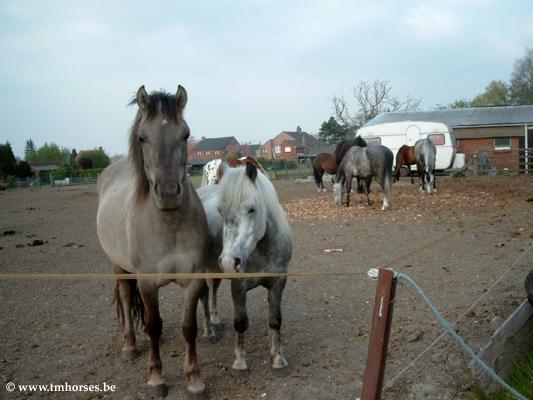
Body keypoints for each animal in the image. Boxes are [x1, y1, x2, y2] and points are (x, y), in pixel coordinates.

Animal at [96, 86, 209, 398]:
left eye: (185, 134)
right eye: (142, 137)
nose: (168, 193)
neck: (168, 226)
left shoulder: (193, 280)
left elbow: (188, 327)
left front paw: (194, 380)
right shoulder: (146, 283)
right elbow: (153, 324)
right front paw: (157, 378)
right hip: (118, 267)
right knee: (126, 298)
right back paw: (130, 346)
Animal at [197, 162, 294, 376]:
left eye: (251, 209)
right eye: (220, 211)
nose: (228, 262)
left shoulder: (278, 282)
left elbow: (275, 319)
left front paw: (278, 358)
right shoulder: (238, 286)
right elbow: (240, 322)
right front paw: (240, 362)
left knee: (213, 289)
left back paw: (215, 320)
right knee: (203, 294)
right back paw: (209, 331)